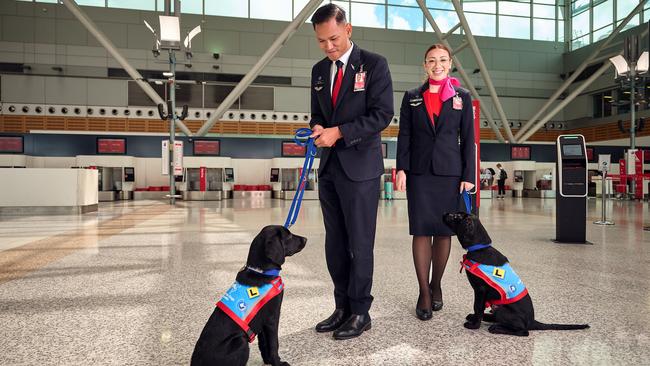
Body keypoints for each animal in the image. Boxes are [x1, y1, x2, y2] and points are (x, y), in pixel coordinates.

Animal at [190, 224, 306, 364]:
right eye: (288, 236)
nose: (305, 239)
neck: (262, 272)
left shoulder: (262, 322)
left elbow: (264, 344)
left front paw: (268, 361)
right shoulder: (272, 318)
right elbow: (274, 344)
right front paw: (278, 363)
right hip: (240, 342)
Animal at [440, 212, 588, 338]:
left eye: (456, 216)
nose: (444, 214)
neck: (480, 249)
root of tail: (532, 321)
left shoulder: (480, 290)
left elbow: (478, 307)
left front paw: (474, 325)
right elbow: (478, 309)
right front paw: (476, 320)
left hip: (502, 310)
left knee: (523, 331)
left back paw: (496, 328)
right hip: (497, 306)